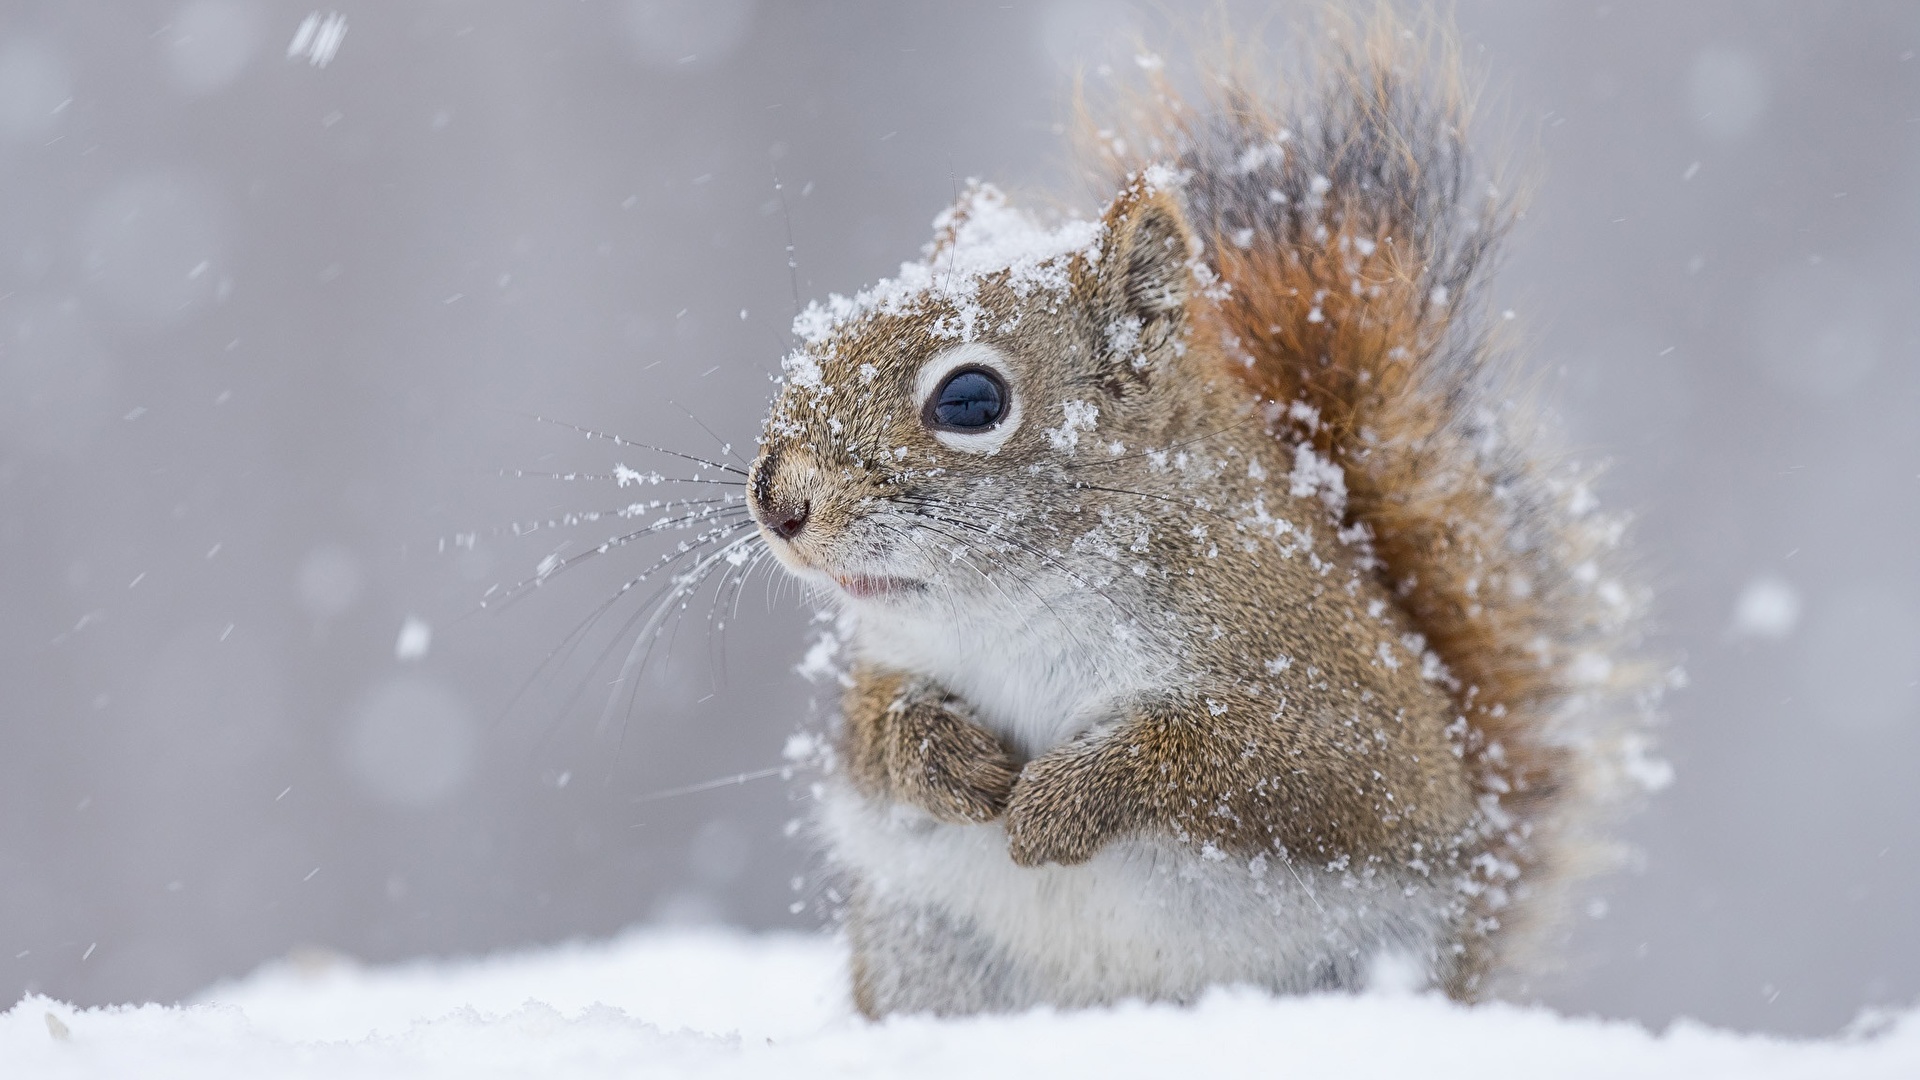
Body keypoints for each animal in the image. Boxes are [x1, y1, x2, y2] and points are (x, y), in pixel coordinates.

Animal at [741, 12, 1658, 1014]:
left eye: (971, 401)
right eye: (820, 340)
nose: (778, 502)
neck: (1017, 606)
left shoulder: (1331, 692)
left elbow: (1264, 767)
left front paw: (1059, 804)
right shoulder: (891, 665)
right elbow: (870, 736)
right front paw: (947, 762)